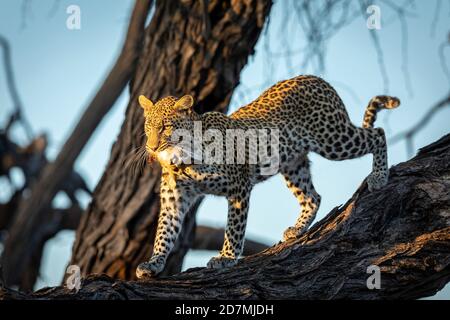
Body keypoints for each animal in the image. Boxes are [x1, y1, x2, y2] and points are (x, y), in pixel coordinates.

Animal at [134, 74, 400, 278]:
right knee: (313, 197)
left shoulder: (239, 188)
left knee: (377, 133)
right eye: (148, 126)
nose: (152, 147)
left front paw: (226, 258)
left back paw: (379, 176)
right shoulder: (174, 198)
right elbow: (164, 232)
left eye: (165, 127)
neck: (181, 161)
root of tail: (316, 79)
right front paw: (154, 263)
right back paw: (297, 229)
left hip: (333, 139)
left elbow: (234, 228)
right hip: (293, 164)